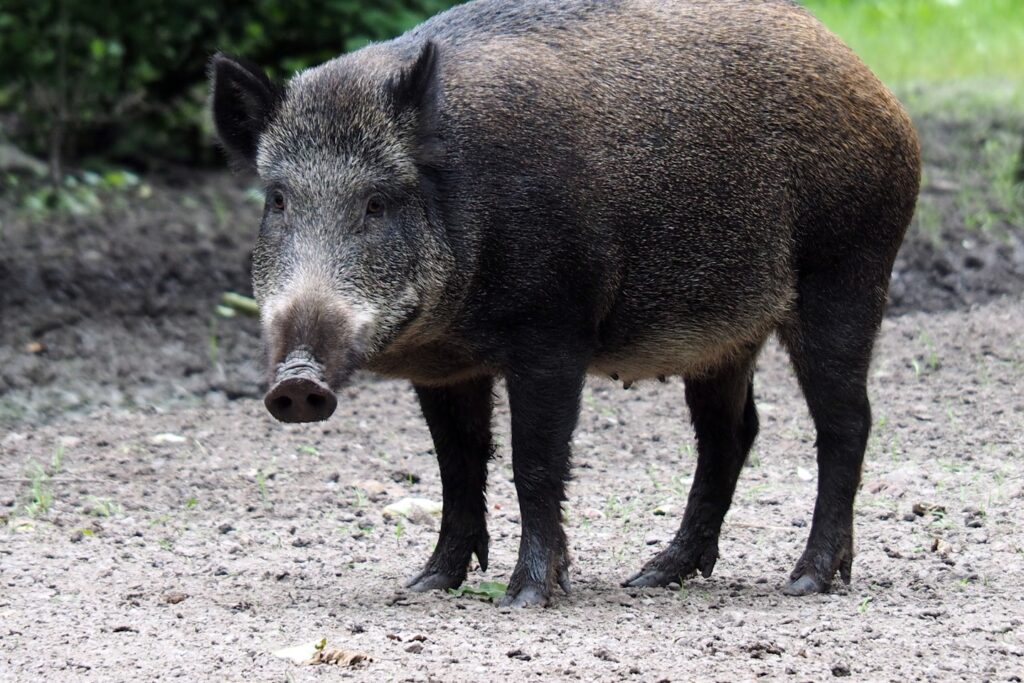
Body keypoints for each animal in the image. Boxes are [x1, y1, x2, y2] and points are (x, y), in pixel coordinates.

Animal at [210, 0, 920, 607]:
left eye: (377, 203)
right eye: (278, 200)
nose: (297, 383)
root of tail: (881, 96)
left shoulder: (554, 330)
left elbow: (535, 460)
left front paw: (527, 597)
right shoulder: (443, 367)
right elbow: (457, 465)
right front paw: (427, 584)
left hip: (848, 273)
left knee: (846, 422)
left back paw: (807, 581)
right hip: (725, 335)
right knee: (731, 434)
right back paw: (654, 576)